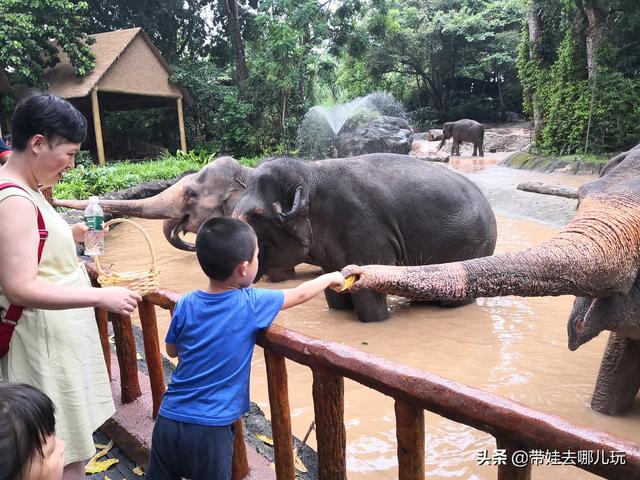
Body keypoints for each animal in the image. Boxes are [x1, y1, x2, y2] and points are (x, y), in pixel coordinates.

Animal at [232, 155, 498, 322]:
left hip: (472, 246)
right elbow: (334, 291)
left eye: (256, 216)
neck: (309, 172)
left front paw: (376, 320)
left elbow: (370, 291)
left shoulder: (367, 231)